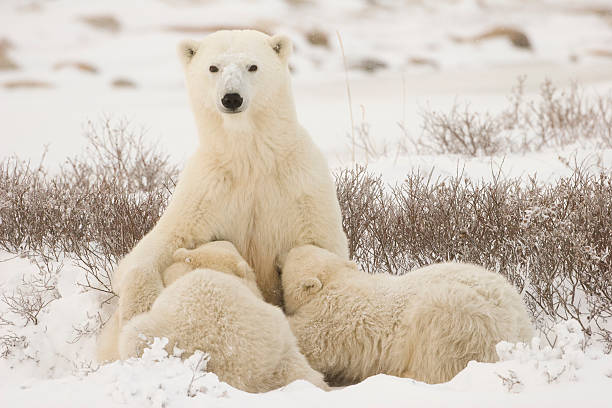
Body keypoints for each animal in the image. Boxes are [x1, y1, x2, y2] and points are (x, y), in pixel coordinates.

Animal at [111, 28, 350, 326]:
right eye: (213, 67)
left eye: (253, 66)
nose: (232, 98)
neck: (250, 160)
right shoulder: (207, 190)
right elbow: (160, 244)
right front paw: (136, 308)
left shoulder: (301, 186)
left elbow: (322, 245)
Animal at [280, 245, 532, 386]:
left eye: (291, 254)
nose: (279, 256)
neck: (336, 279)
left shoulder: (333, 318)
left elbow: (308, 340)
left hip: (459, 319)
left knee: (438, 360)